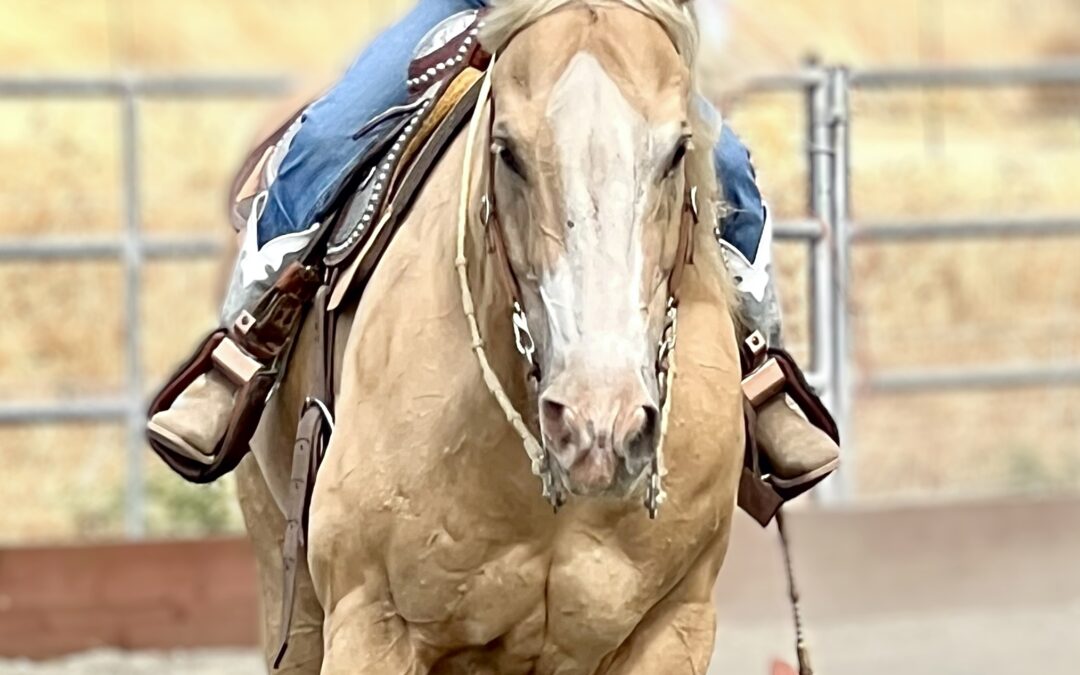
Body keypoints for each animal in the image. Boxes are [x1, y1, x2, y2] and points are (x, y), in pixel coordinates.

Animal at [235, 2, 747, 669]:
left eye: (678, 150)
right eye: (508, 152)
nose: (599, 428)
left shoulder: (676, 625)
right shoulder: (370, 620)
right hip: (285, 585)